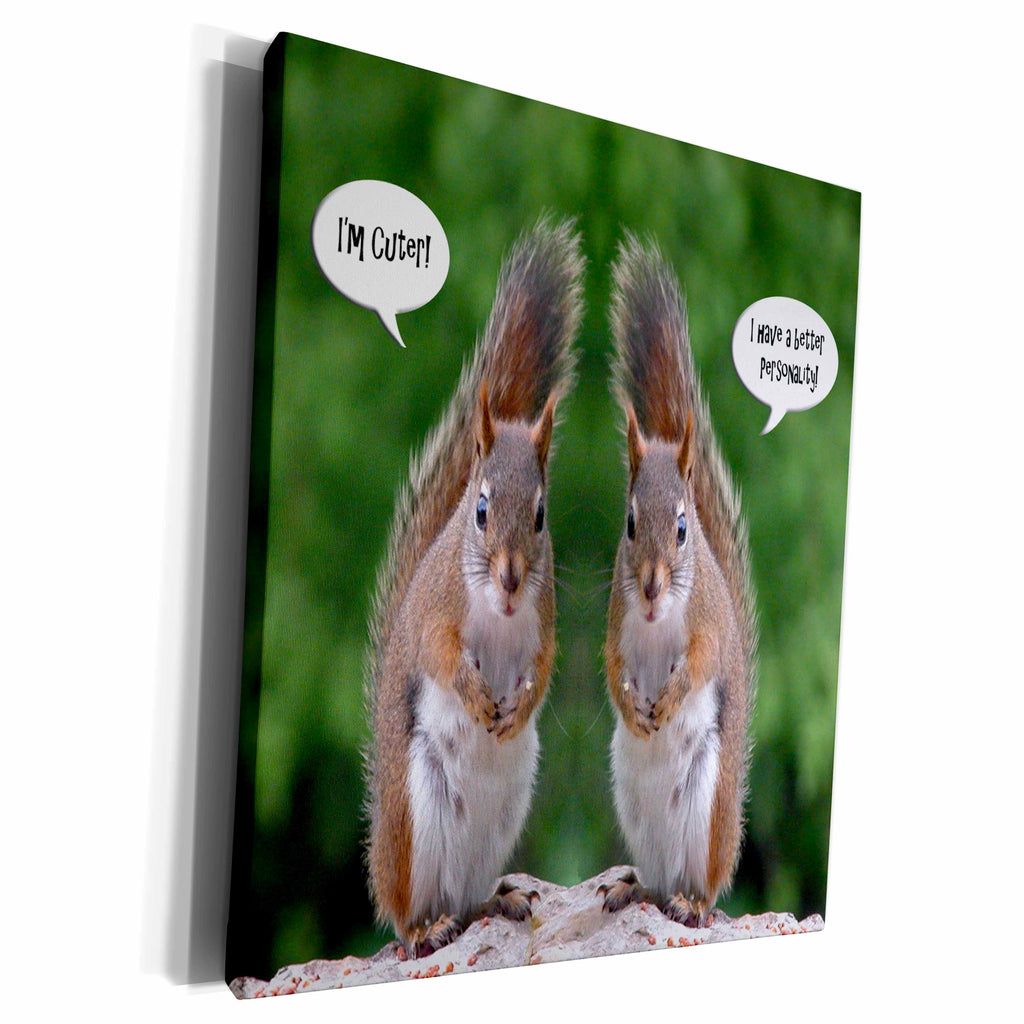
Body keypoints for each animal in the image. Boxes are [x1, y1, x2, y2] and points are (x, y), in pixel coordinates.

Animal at [364, 219, 584, 957]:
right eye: (480, 508)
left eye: (542, 515)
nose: (513, 576)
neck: (502, 609)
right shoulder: (436, 613)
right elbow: (437, 653)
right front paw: (474, 691)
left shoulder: (545, 618)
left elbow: (544, 664)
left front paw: (516, 706)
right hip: (416, 822)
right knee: (412, 912)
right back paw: (425, 928)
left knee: (466, 897)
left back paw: (495, 902)